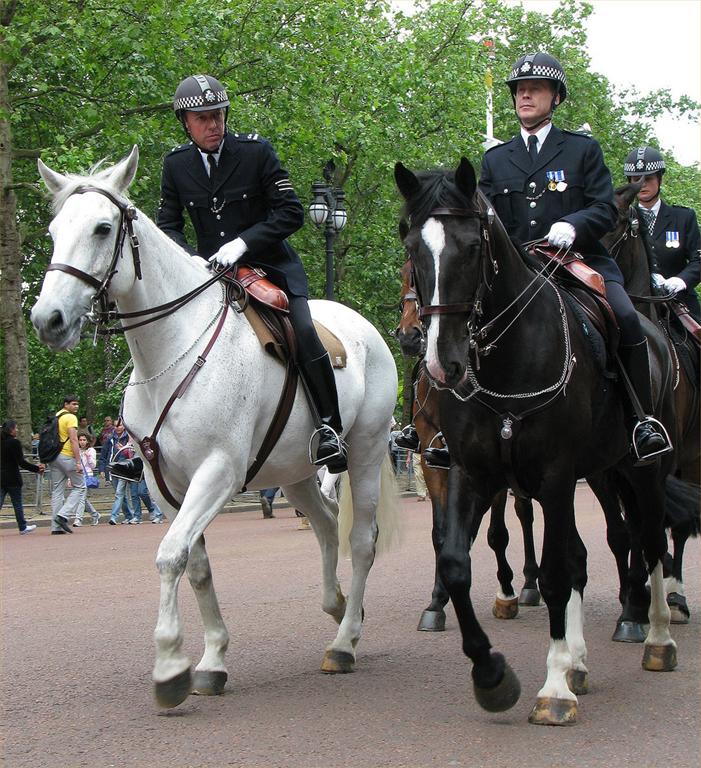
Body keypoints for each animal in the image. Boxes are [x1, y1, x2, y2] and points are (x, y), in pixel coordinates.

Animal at [30, 147, 400, 712]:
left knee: (360, 539)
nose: (47, 319)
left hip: (364, 451)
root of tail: (363, 327)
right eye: (53, 230)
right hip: (293, 470)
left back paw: (344, 642)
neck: (172, 348)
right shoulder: (163, 484)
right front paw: (210, 660)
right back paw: (339, 607)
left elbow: (169, 557)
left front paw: (168, 665)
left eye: (102, 227)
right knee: (324, 522)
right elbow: (194, 564)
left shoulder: (218, 472)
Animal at [396, 260, 540, 632]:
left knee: (525, 514)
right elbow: (442, 531)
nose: (409, 335)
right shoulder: (432, 460)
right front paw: (438, 600)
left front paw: (505, 592)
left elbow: (495, 533)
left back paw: (529, 584)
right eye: (404, 272)